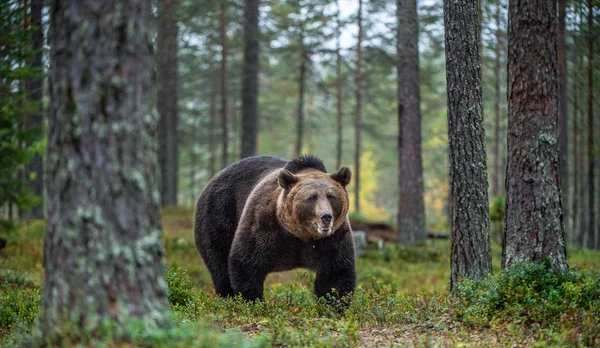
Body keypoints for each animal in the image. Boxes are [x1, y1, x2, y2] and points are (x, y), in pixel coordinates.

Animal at [195, 155, 356, 302]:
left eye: (331, 196)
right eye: (312, 197)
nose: (326, 216)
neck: (300, 234)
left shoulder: (333, 238)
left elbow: (335, 274)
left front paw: (334, 304)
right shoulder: (265, 226)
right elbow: (246, 263)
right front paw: (253, 300)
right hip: (219, 212)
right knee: (219, 261)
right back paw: (227, 296)